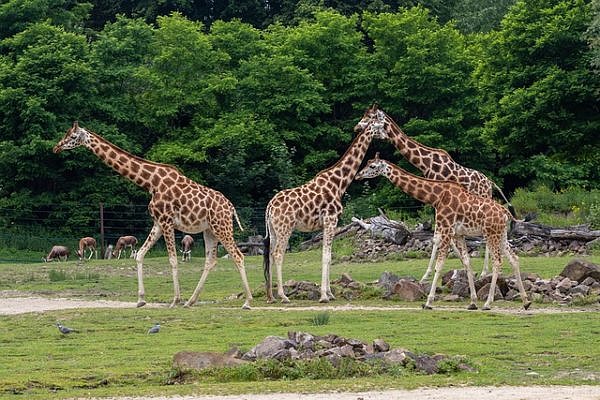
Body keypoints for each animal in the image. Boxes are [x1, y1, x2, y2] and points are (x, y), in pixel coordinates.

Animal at [54, 122, 253, 310]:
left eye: (72, 136)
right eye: (65, 134)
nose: (56, 147)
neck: (150, 183)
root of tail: (230, 207)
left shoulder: (167, 221)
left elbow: (173, 260)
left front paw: (175, 300)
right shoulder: (157, 223)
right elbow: (140, 255)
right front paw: (141, 299)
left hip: (222, 227)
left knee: (238, 256)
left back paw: (247, 301)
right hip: (209, 230)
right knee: (210, 261)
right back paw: (191, 301)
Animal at [264, 122, 390, 304]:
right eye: (380, 126)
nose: (387, 136)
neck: (339, 183)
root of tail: (270, 206)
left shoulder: (329, 224)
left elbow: (329, 256)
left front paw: (330, 293)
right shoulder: (330, 220)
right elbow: (326, 256)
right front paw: (324, 296)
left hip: (274, 230)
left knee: (270, 255)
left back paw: (271, 297)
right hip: (285, 228)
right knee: (278, 254)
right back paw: (283, 296)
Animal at [354, 106, 512, 282]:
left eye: (370, 117)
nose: (357, 128)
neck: (425, 163)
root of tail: (490, 183)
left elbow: (440, 238)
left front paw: (430, 274)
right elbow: (440, 238)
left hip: (482, 200)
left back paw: (485, 271)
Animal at [356, 152, 528, 310]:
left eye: (372, 166)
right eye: (367, 163)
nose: (358, 175)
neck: (437, 197)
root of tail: (505, 213)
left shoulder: (445, 229)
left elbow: (439, 265)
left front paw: (428, 302)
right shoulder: (458, 234)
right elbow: (466, 262)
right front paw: (472, 302)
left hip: (491, 234)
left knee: (497, 262)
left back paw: (488, 303)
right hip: (501, 234)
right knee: (514, 258)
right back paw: (526, 302)